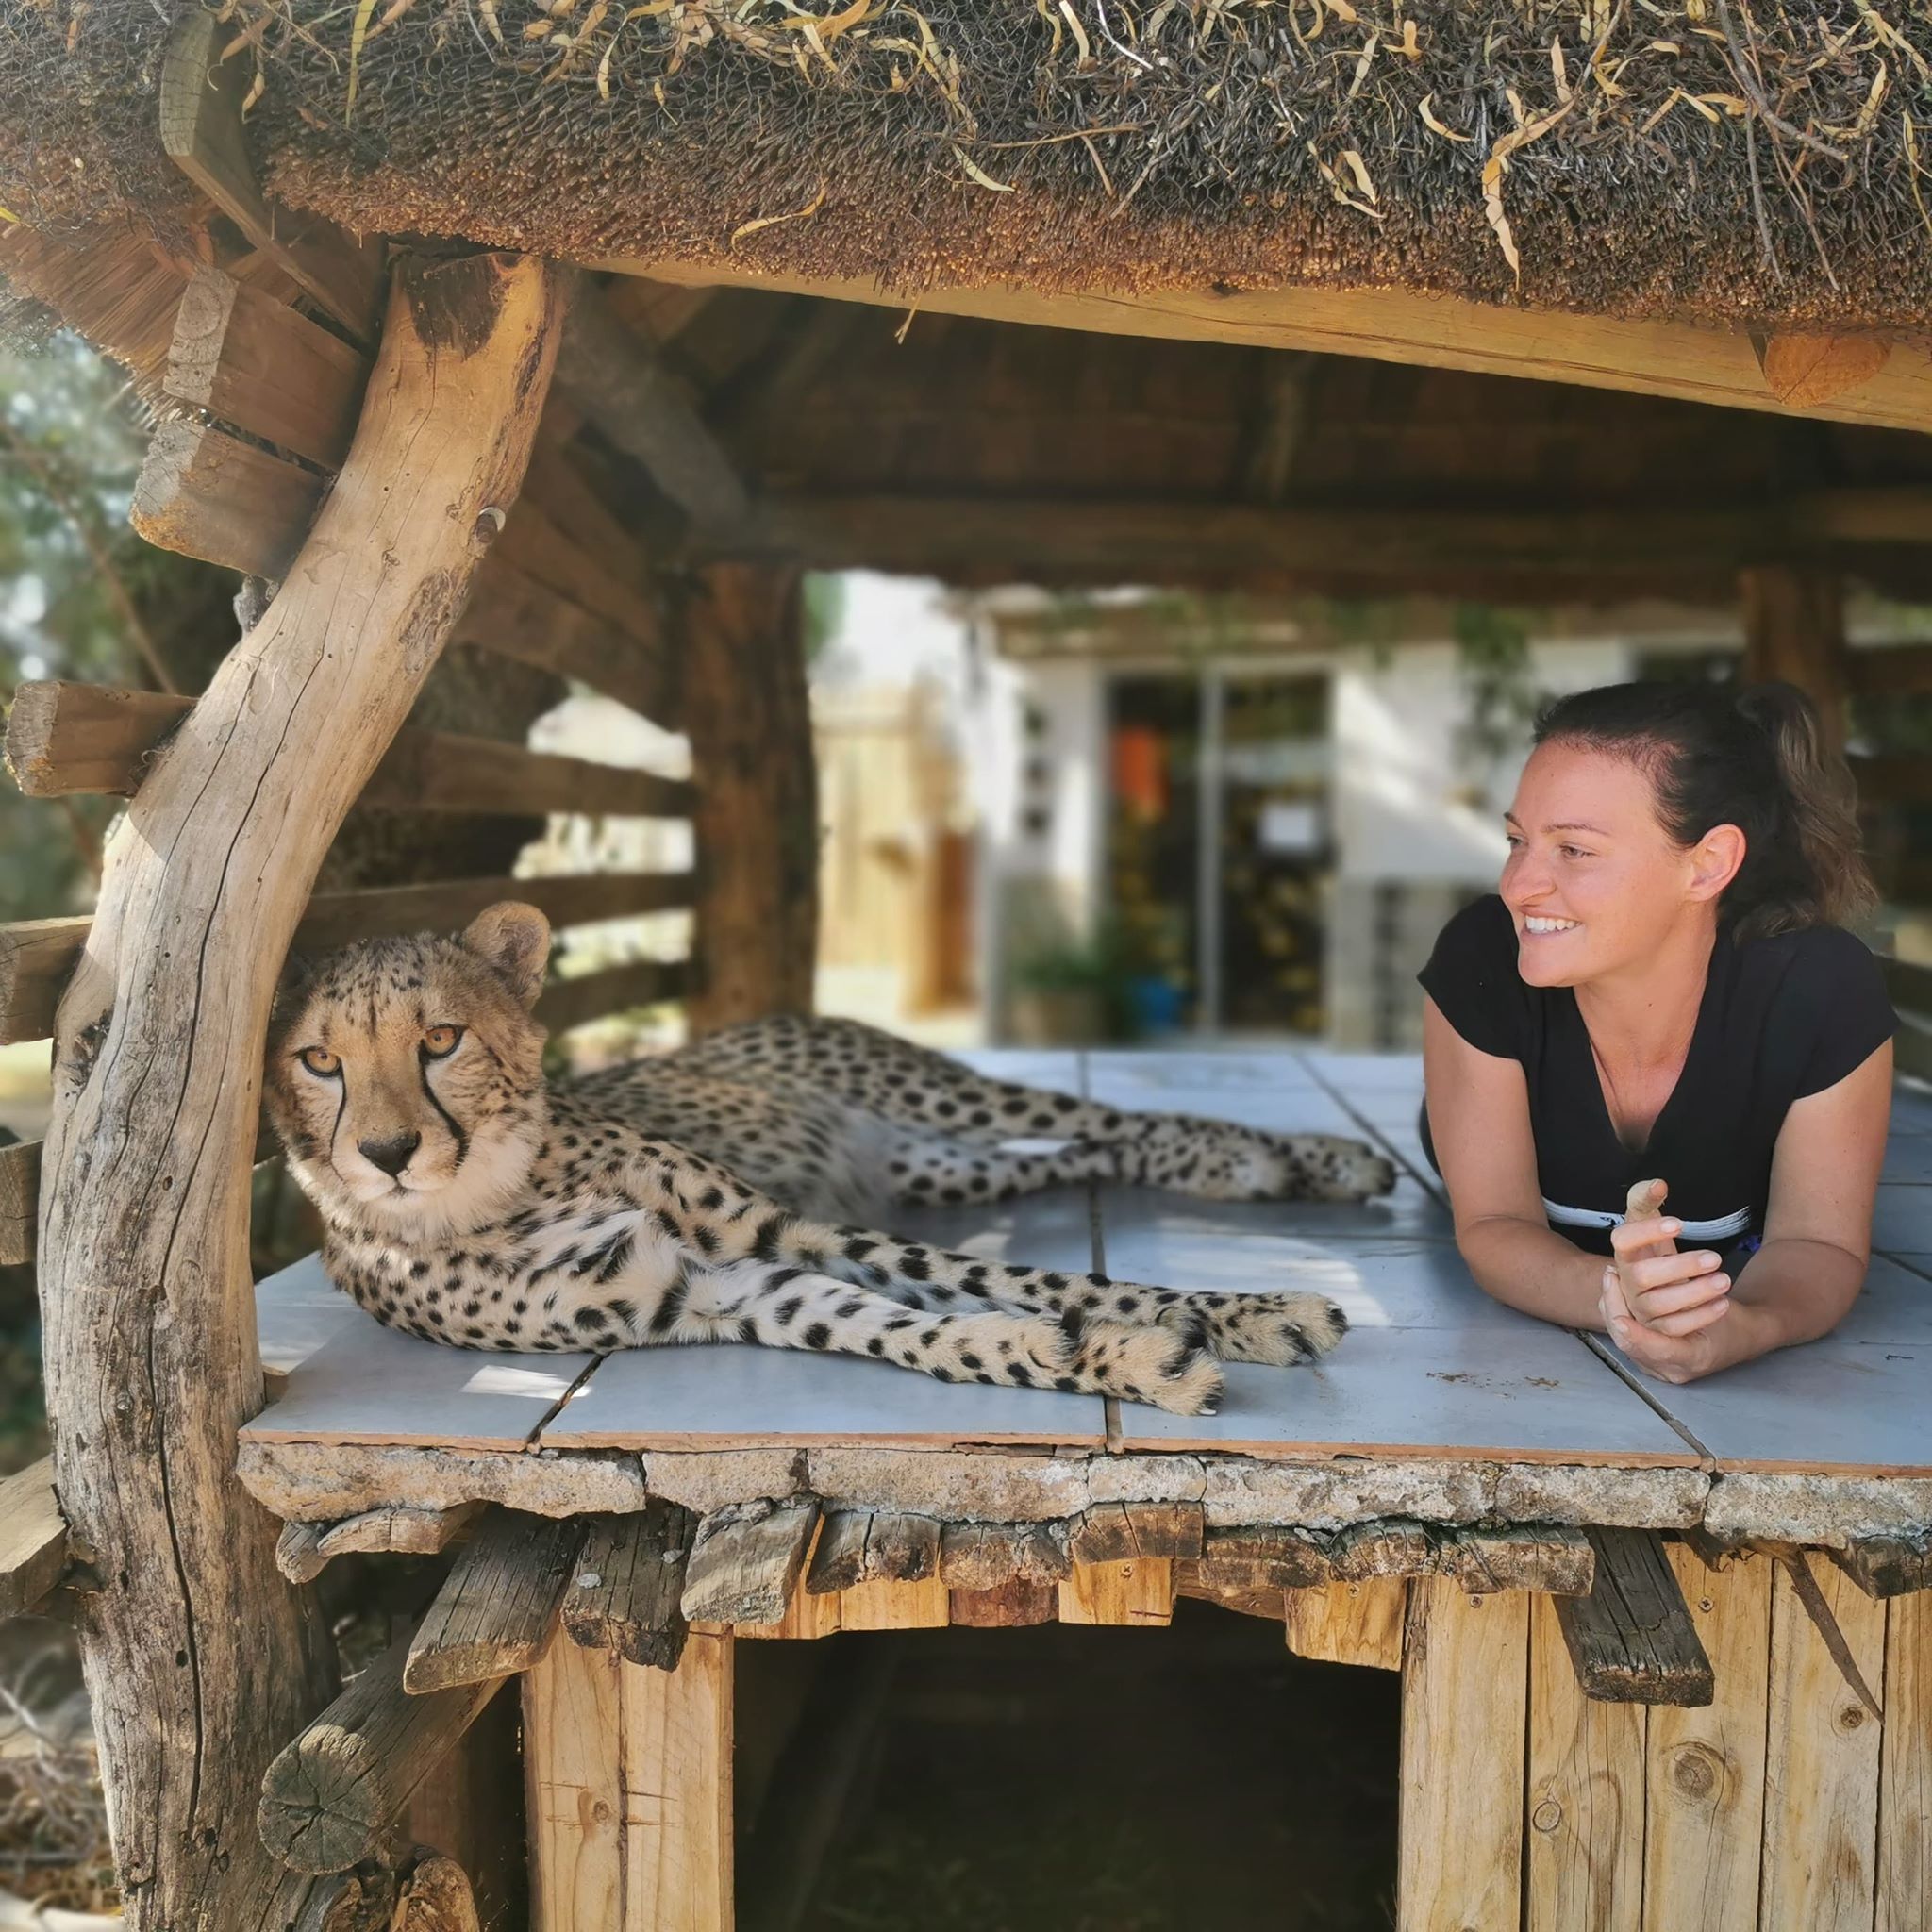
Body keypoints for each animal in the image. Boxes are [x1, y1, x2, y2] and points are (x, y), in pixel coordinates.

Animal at [264, 902, 1396, 1416]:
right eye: (319, 1060)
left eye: (440, 1039)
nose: (388, 1151)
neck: (498, 1182)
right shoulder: (710, 1289)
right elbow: (918, 1329)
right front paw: (1116, 1358)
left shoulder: (778, 1229)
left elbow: (1055, 1282)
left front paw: (1253, 1313)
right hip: (940, 1165)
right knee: (1074, 1151)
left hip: (934, 1094)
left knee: (1113, 1118)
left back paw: (1315, 1157)